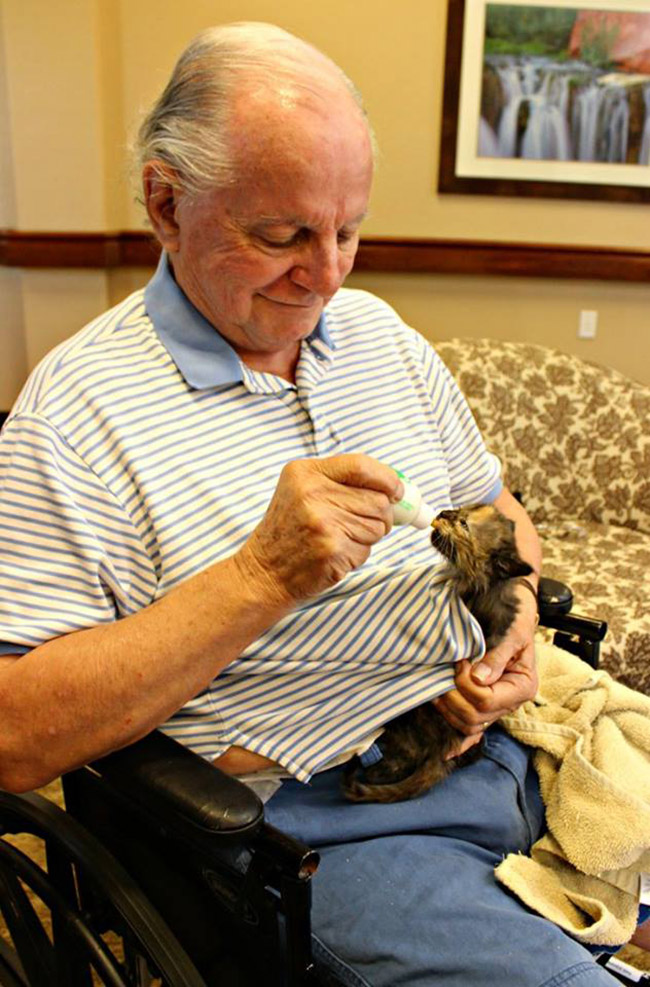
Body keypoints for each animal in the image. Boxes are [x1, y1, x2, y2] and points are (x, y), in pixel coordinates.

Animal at [340, 502, 532, 804]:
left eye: (464, 525)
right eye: (463, 509)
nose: (443, 513)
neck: (489, 587)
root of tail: (442, 750)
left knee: (403, 758)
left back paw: (374, 770)